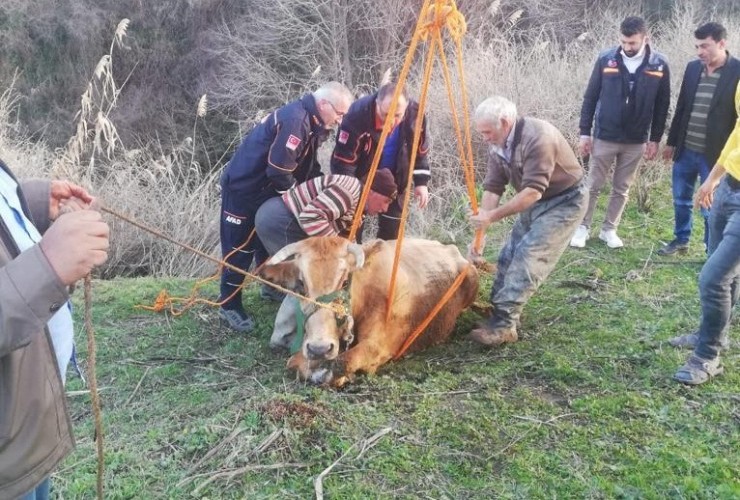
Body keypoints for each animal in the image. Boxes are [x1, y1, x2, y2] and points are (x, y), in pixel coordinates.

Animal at [260, 235, 480, 386]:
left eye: (345, 281)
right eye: (301, 284)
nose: (319, 349)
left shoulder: (378, 346)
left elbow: (343, 362)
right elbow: (294, 361)